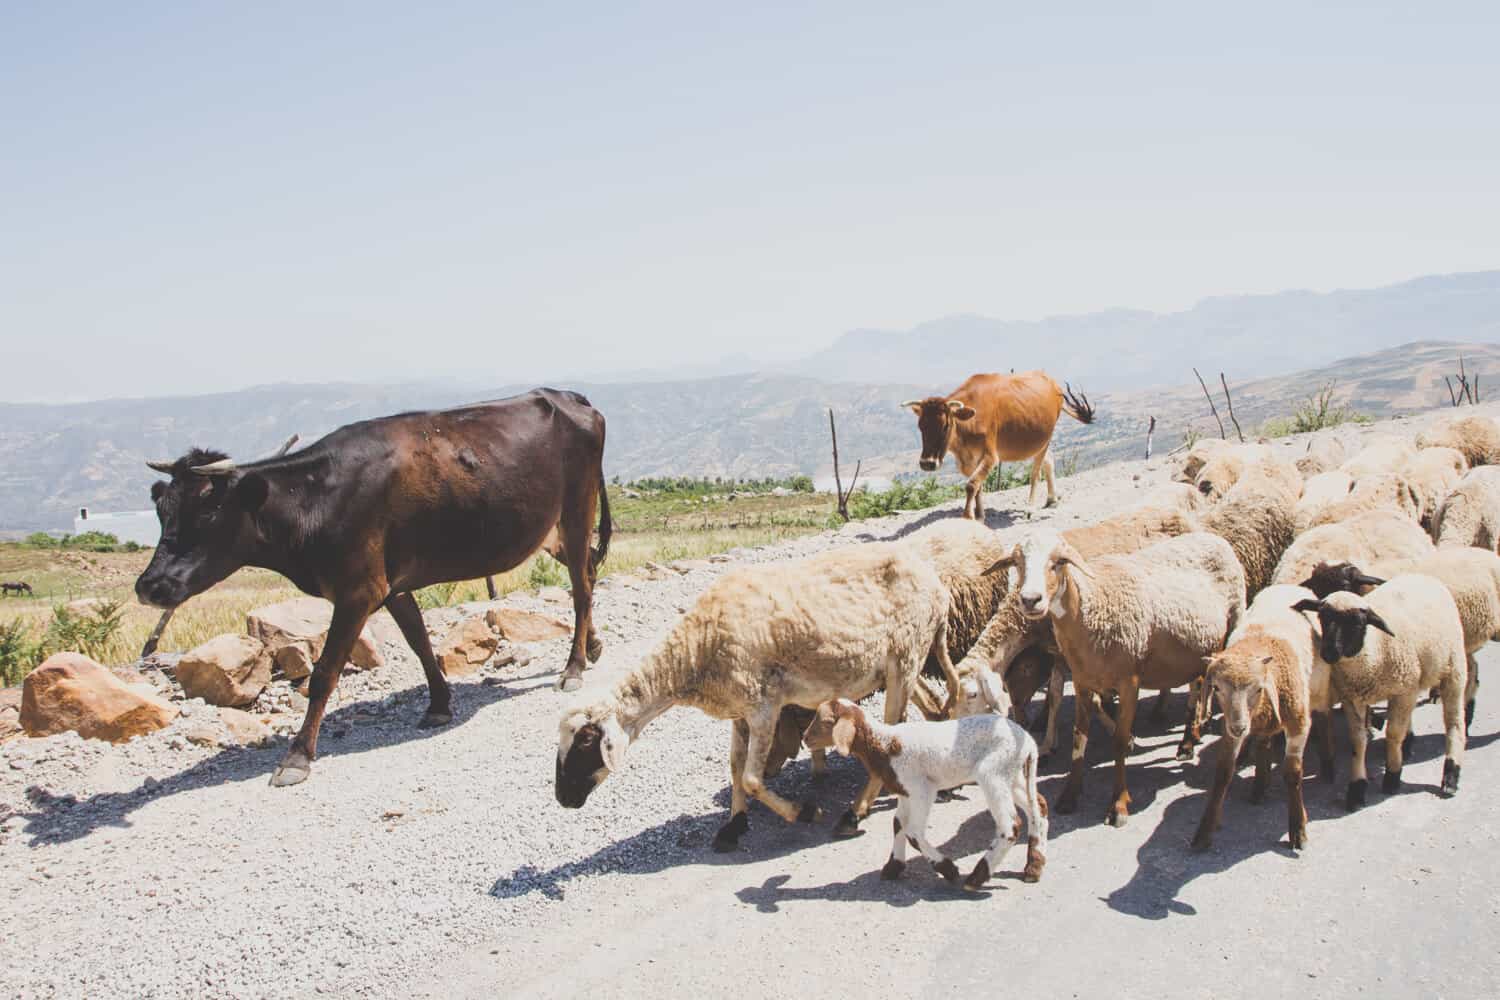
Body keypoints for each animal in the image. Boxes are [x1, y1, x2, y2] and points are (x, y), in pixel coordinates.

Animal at [135, 386, 612, 785]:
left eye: (208, 512)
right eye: (162, 510)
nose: (150, 585)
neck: (315, 500)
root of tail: (564, 395)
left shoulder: (357, 591)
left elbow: (325, 673)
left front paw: (297, 757)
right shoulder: (390, 584)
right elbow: (419, 641)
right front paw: (439, 704)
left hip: (576, 511)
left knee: (582, 588)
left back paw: (573, 668)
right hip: (552, 530)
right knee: (588, 573)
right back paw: (592, 646)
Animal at [552, 539, 960, 851]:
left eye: (586, 740)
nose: (563, 799)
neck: (694, 652)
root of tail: (935, 583)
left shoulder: (764, 706)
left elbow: (751, 777)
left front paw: (802, 812)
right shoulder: (738, 712)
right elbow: (735, 768)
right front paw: (735, 824)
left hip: (906, 656)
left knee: (894, 729)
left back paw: (854, 812)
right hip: (900, 665)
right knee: (933, 707)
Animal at [900, 371, 1092, 521]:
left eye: (946, 425)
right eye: (920, 426)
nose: (927, 463)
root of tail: (1052, 383)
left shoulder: (991, 456)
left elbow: (971, 485)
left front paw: (968, 516)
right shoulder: (969, 460)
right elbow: (978, 487)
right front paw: (979, 515)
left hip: (1046, 438)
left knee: (1035, 474)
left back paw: (1030, 508)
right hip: (1040, 441)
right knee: (1049, 461)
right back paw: (1052, 499)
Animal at [1290, 575, 1464, 809]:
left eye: (1357, 623)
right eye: (1322, 618)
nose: (1328, 653)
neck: (1373, 650)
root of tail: (1422, 576)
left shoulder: (1403, 691)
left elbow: (1393, 734)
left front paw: (1392, 775)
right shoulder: (1353, 698)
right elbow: (1358, 740)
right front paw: (1356, 788)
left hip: (1453, 668)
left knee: (1454, 722)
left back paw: (1451, 776)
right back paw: (1408, 745)